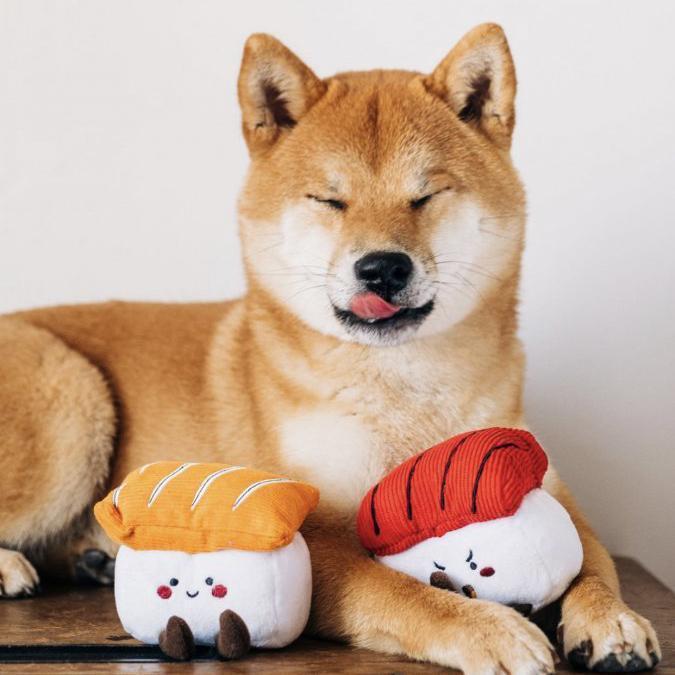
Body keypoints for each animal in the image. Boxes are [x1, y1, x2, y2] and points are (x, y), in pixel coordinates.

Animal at [0, 24, 660, 672]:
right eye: (329, 200)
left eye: (426, 196)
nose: (382, 267)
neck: (402, 390)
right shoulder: (301, 532)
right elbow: (398, 592)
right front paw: (492, 630)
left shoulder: (549, 491)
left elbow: (592, 564)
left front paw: (613, 623)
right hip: (73, 401)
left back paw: (90, 557)